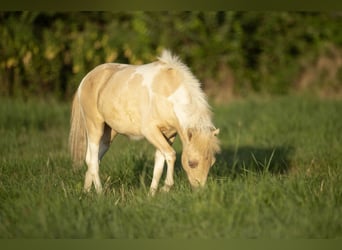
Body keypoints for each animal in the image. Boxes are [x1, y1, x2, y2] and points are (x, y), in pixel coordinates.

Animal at [68, 50, 220, 195]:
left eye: (212, 163)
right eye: (191, 163)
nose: (200, 191)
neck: (167, 94)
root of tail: (86, 79)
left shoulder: (169, 135)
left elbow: (159, 165)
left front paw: (152, 194)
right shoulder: (150, 131)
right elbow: (171, 155)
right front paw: (166, 187)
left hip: (108, 135)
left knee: (92, 159)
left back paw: (86, 192)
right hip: (95, 127)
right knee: (93, 161)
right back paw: (100, 193)